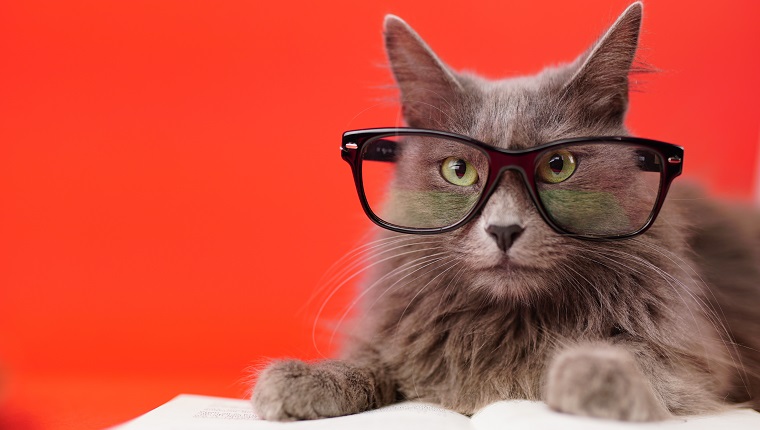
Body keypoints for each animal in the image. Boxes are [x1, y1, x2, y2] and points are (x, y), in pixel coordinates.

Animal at [251, 1, 760, 422]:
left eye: (559, 165)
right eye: (458, 171)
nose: (504, 229)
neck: (509, 324)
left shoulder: (694, 360)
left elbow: (646, 360)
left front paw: (586, 375)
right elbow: (376, 361)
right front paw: (304, 380)